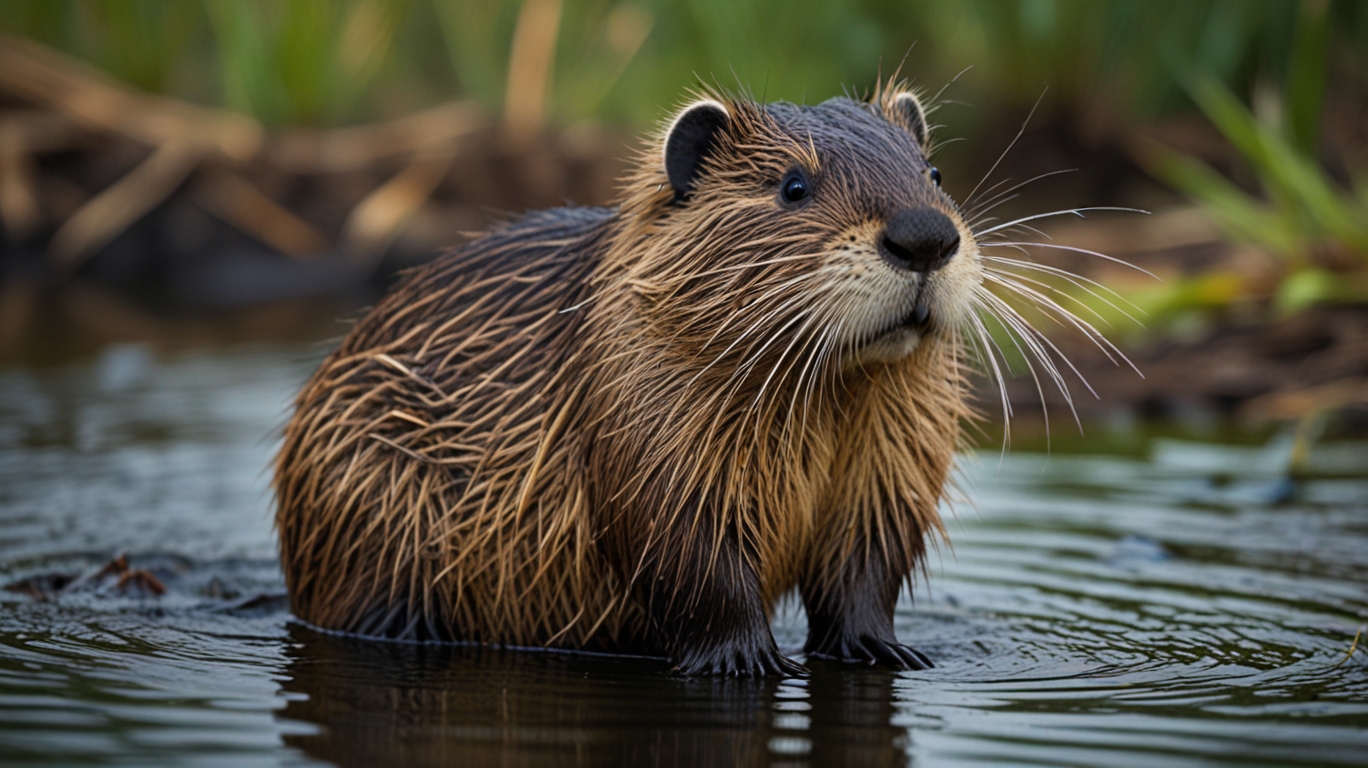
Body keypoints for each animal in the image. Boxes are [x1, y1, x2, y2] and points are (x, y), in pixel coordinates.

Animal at [274, 80, 984, 673]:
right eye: (792, 186)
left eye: (933, 172)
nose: (925, 237)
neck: (828, 395)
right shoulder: (640, 407)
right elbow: (685, 551)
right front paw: (749, 660)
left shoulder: (892, 454)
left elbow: (868, 557)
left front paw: (886, 650)